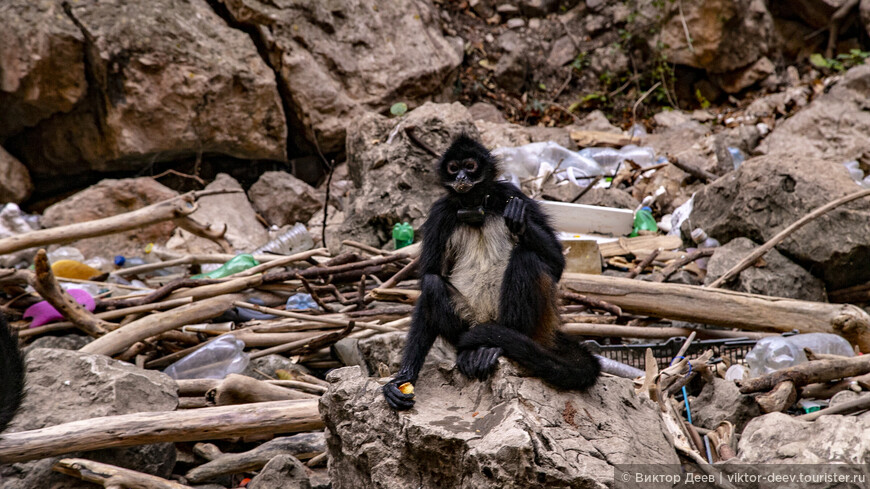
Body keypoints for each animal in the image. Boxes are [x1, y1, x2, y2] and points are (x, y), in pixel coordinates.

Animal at [384, 132, 604, 408]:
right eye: (453, 168)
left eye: (470, 166)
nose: (461, 178)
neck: (476, 207)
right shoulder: (440, 212)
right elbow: (429, 276)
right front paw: (403, 378)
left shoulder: (510, 193)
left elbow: (556, 265)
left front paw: (519, 220)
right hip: (471, 322)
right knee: (433, 283)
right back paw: (471, 352)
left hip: (535, 321)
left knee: (526, 258)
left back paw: (498, 346)